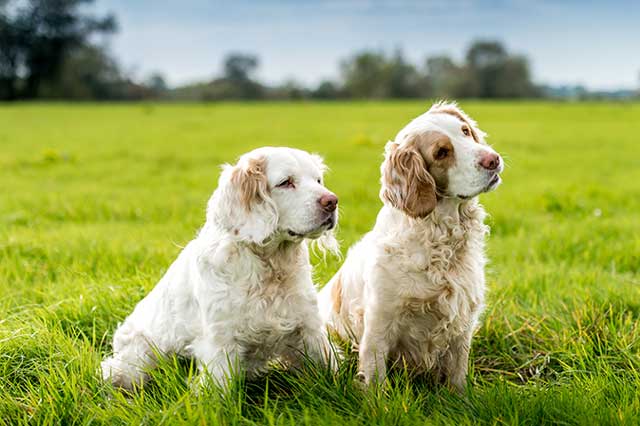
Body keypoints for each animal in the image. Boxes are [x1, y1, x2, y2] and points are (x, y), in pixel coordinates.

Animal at [102, 146, 340, 390]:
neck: (269, 267)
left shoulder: (309, 326)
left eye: (318, 180)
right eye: (286, 182)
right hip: (135, 361)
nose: (332, 201)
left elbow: (330, 367)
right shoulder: (221, 342)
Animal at [318, 101, 502, 392]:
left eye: (465, 131)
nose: (493, 159)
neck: (442, 241)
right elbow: (376, 381)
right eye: (441, 153)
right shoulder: (378, 327)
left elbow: (457, 377)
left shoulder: (462, 324)